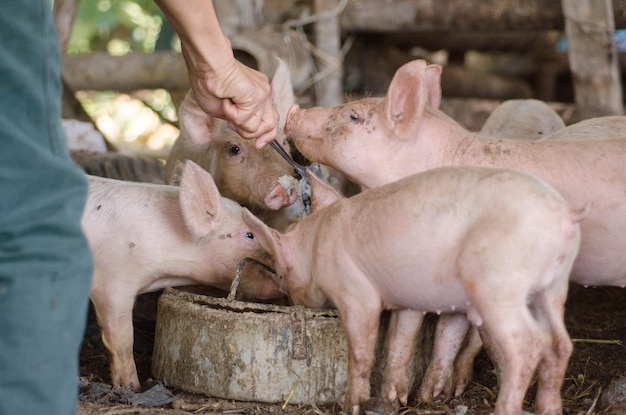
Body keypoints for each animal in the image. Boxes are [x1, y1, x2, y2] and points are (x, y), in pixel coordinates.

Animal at [245, 167, 584, 415]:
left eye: (281, 274)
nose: (290, 300)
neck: (316, 244)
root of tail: (564, 214)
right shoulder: (407, 301)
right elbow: (399, 343)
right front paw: (394, 401)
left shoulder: (355, 293)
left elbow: (361, 351)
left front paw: (351, 406)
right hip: (554, 286)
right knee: (560, 344)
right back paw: (549, 409)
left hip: (499, 282)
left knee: (528, 343)